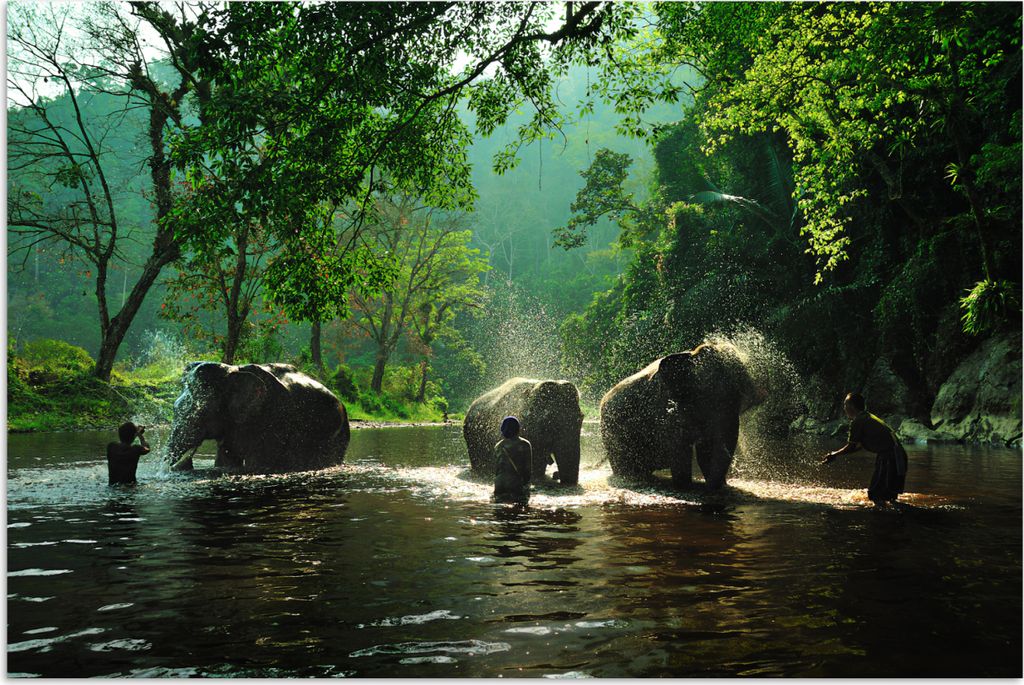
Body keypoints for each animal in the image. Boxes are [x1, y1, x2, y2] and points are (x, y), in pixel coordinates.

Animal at [165, 362, 350, 474]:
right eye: (174, 409)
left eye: (202, 411)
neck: (233, 370)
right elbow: (226, 460)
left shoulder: (273, 416)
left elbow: (258, 464)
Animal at [599, 342, 764, 489]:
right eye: (705, 396)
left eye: (740, 400)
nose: (722, 485)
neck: (692, 354)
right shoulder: (666, 407)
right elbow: (680, 449)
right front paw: (684, 487)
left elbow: (706, 448)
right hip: (611, 432)